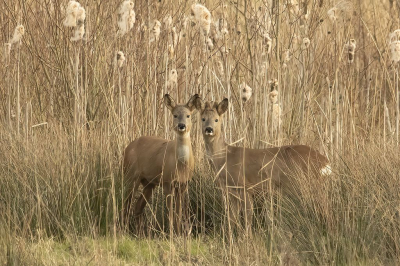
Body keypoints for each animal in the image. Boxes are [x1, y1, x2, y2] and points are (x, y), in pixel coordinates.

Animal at [123, 93, 198, 235]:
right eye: (175, 115)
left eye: (188, 115)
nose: (181, 125)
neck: (181, 165)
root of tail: (127, 148)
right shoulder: (167, 181)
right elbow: (170, 212)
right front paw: (171, 234)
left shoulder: (183, 184)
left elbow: (178, 213)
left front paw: (179, 234)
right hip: (131, 175)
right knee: (126, 203)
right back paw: (121, 230)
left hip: (149, 182)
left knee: (137, 206)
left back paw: (140, 234)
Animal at [195, 97, 332, 233]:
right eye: (203, 118)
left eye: (216, 119)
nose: (209, 129)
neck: (224, 158)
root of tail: (325, 162)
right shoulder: (231, 191)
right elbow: (232, 218)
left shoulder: (245, 186)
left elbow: (248, 216)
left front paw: (247, 236)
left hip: (306, 184)